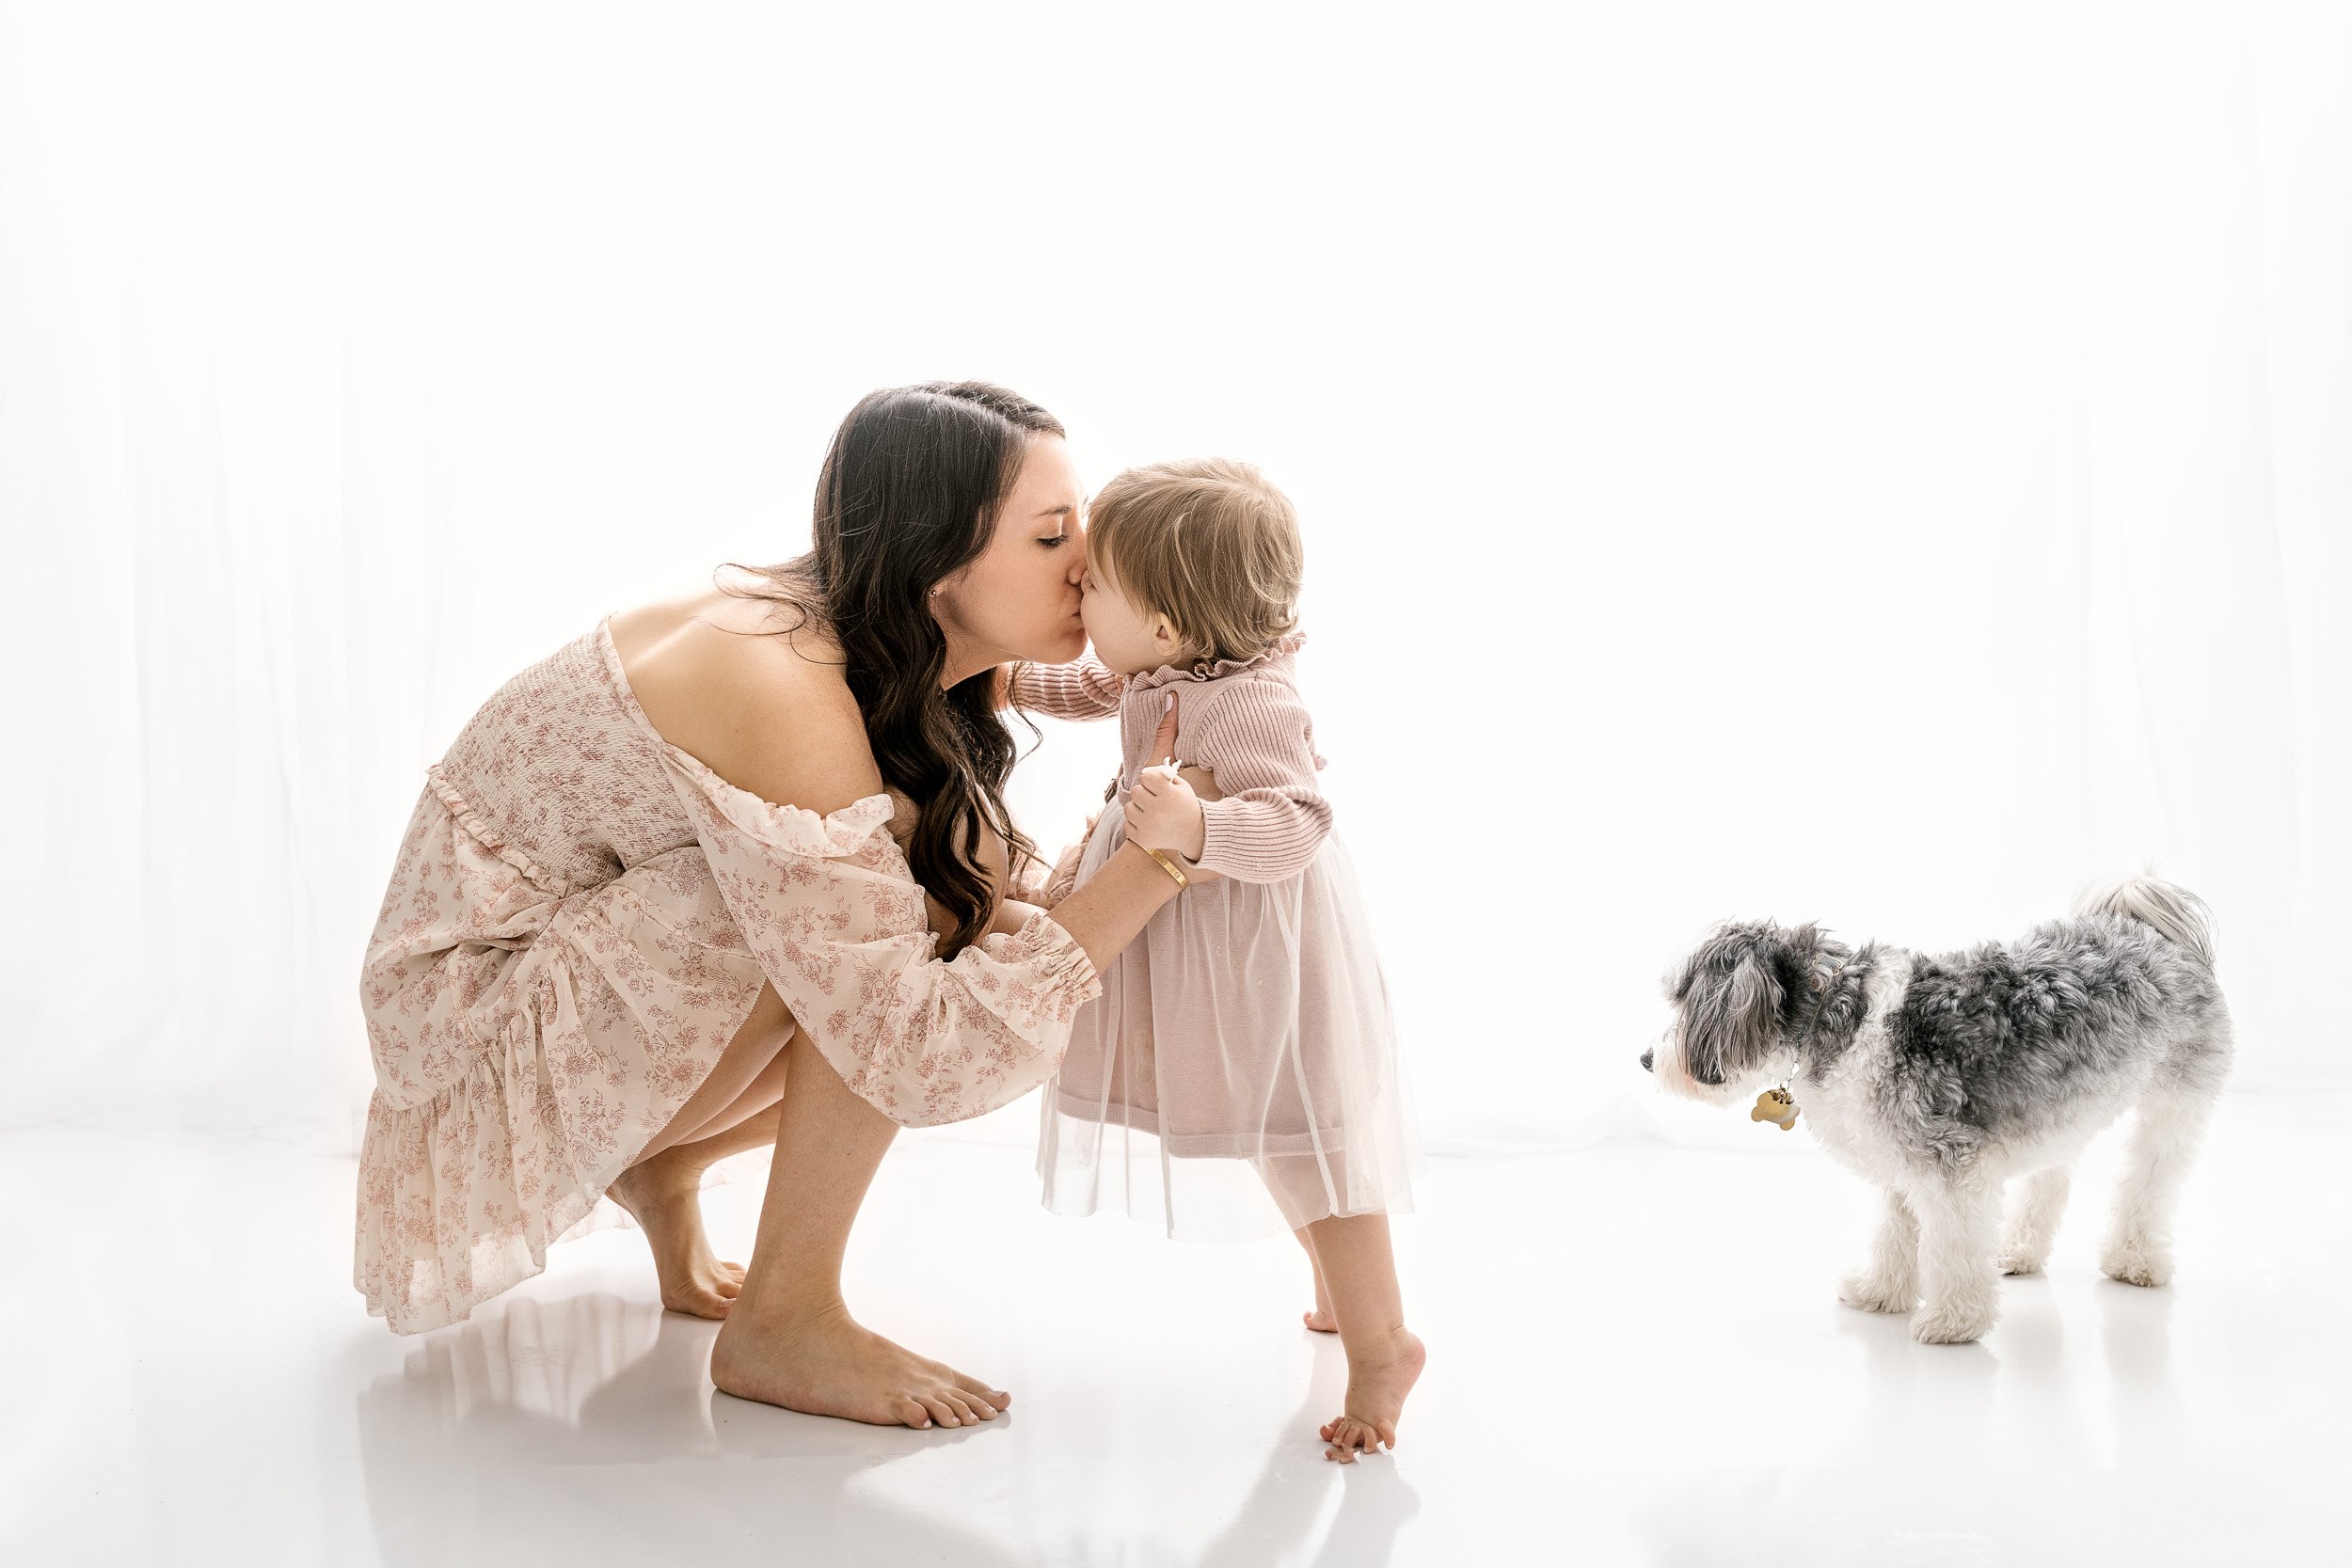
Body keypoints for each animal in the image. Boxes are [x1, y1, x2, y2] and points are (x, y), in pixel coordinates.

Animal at [1646, 879, 2230, 1344]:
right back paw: (2017, 1251)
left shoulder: (1950, 1166)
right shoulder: (1901, 1163)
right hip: (2056, 1106)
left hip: (2172, 1106)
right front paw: (1881, 1294)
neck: (1838, 1012)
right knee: (2052, 1180)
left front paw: (1955, 1322)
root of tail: (2153, 929)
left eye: (1685, 999)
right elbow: (1894, 1235)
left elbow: (1952, 1248)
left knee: (2148, 1183)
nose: (1646, 1059)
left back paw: (2135, 1262)